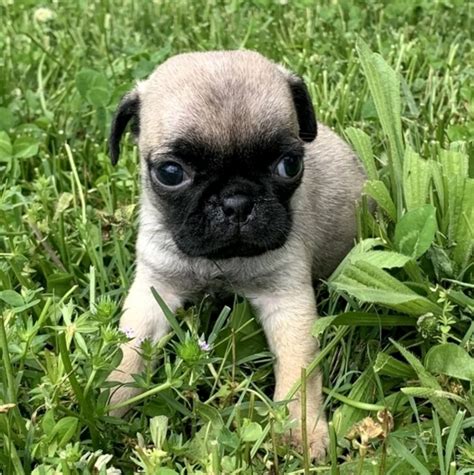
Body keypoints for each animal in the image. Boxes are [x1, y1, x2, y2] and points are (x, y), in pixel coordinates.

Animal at [107, 50, 366, 460]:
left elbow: (299, 370)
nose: (237, 202)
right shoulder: (154, 291)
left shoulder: (287, 299)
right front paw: (104, 406)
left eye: (290, 165)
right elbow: (128, 352)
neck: (220, 262)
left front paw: (303, 430)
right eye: (170, 173)